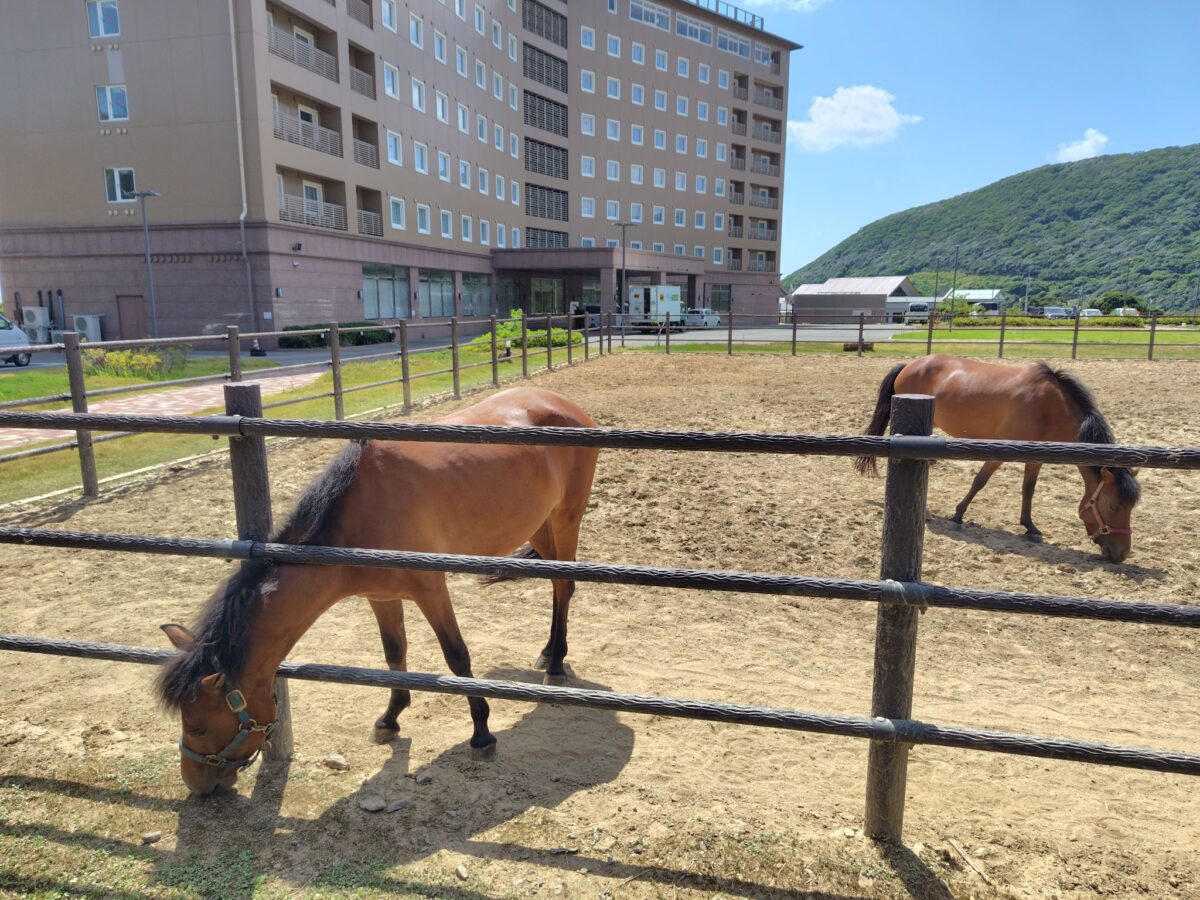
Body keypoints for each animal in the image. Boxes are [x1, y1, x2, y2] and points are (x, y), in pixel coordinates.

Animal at [156, 386, 599, 795]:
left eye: (198, 727)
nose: (196, 784)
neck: (360, 518)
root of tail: (564, 404)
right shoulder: (381, 597)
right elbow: (393, 653)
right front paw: (391, 717)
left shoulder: (431, 589)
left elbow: (457, 657)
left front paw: (481, 734)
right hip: (538, 525)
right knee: (556, 585)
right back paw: (547, 652)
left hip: (565, 518)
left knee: (565, 584)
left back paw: (557, 663)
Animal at [855, 355, 1141, 562]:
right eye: (1115, 506)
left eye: (1131, 508)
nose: (1121, 553)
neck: (1047, 406)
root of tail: (909, 365)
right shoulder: (1000, 450)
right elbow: (980, 481)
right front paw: (958, 515)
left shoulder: (1036, 456)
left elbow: (1028, 489)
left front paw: (1030, 527)